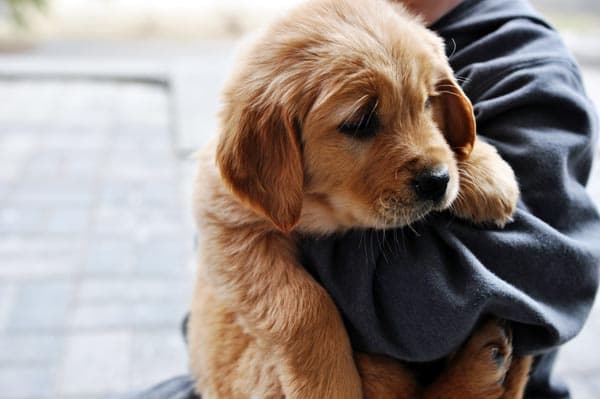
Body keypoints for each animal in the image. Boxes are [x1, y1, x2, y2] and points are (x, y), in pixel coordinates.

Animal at [188, 0, 528, 398]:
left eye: (429, 102)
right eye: (361, 122)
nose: (437, 181)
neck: (319, 207)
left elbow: (451, 143)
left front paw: (487, 172)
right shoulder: (228, 227)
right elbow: (302, 303)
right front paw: (329, 385)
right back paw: (484, 364)